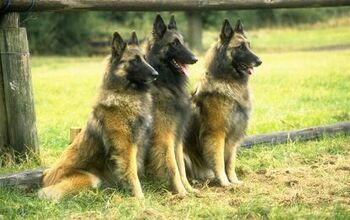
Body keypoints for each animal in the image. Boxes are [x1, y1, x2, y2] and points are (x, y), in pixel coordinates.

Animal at [39, 31, 158, 200]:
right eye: (134, 61)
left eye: (145, 59)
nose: (156, 74)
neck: (125, 94)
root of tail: (46, 178)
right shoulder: (125, 147)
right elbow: (132, 174)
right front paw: (140, 198)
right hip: (91, 178)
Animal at [144, 14, 198, 196]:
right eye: (174, 43)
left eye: (183, 41)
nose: (195, 59)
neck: (165, 83)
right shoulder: (165, 137)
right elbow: (173, 166)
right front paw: (181, 192)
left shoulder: (178, 135)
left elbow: (180, 165)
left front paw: (188, 189)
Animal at [183, 19, 262, 186]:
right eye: (240, 47)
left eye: (249, 45)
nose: (259, 61)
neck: (229, 82)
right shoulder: (216, 134)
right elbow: (218, 161)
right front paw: (225, 183)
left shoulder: (233, 137)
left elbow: (230, 162)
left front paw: (235, 181)